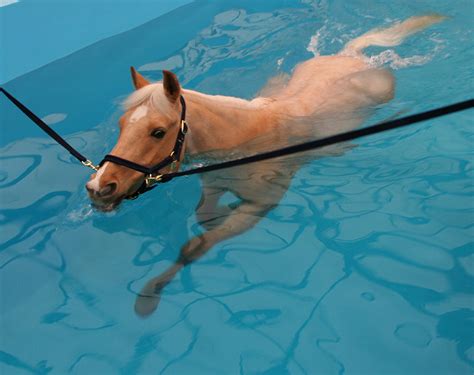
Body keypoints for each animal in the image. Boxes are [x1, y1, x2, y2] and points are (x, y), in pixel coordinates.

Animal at [86, 15, 444, 318]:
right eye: (121, 124)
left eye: (158, 132)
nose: (99, 187)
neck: (245, 136)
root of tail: (351, 55)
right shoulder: (214, 185)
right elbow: (205, 216)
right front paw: (219, 214)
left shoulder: (260, 205)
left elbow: (196, 245)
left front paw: (149, 296)